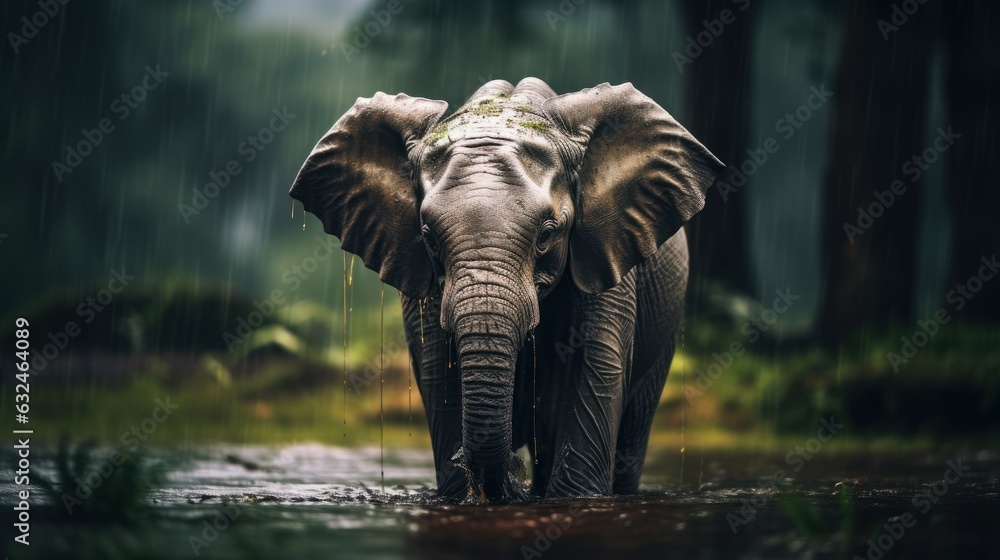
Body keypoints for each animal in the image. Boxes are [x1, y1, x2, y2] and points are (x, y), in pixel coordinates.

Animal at [289, 78, 724, 503]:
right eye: (429, 239)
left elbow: (593, 373)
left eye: (547, 235)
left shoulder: (603, 258)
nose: (513, 474)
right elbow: (440, 377)